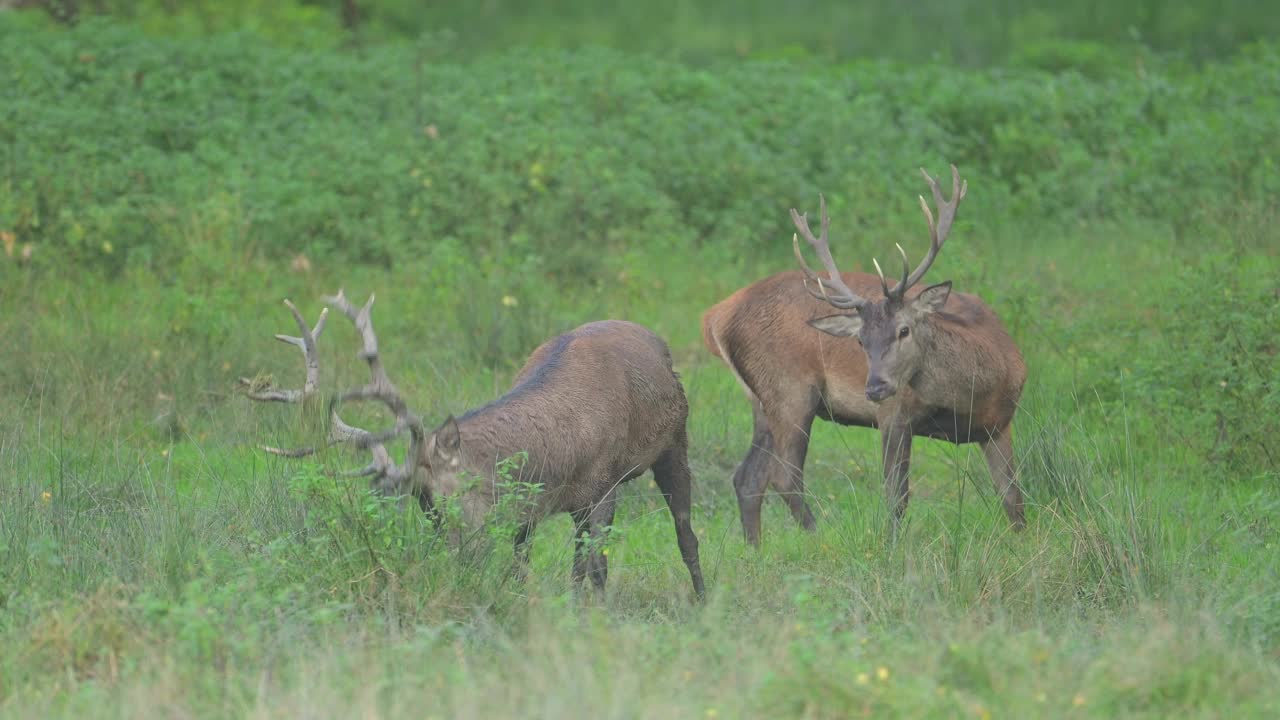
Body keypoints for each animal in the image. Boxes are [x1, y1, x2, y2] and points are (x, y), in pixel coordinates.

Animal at [243, 288, 706, 597]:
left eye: (451, 493)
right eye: (424, 505)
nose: (455, 561)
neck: (565, 457)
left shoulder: (605, 483)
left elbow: (596, 567)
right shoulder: (531, 503)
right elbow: (524, 567)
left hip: (675, 443)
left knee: (686, 534)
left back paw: (701, 600)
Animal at [701, 165, 1029, 540]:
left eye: (904, 330)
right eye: (860, 341)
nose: (874, 387)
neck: (977, 389)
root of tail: (716, 316)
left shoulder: (1000, 424)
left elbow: (1013, 498)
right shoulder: (894, 416)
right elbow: (896, 495)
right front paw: (892, 545)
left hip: (760, 399)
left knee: (748, 478)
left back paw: (756, 548)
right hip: (789, 389)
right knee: (784, 476)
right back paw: (818, 537)